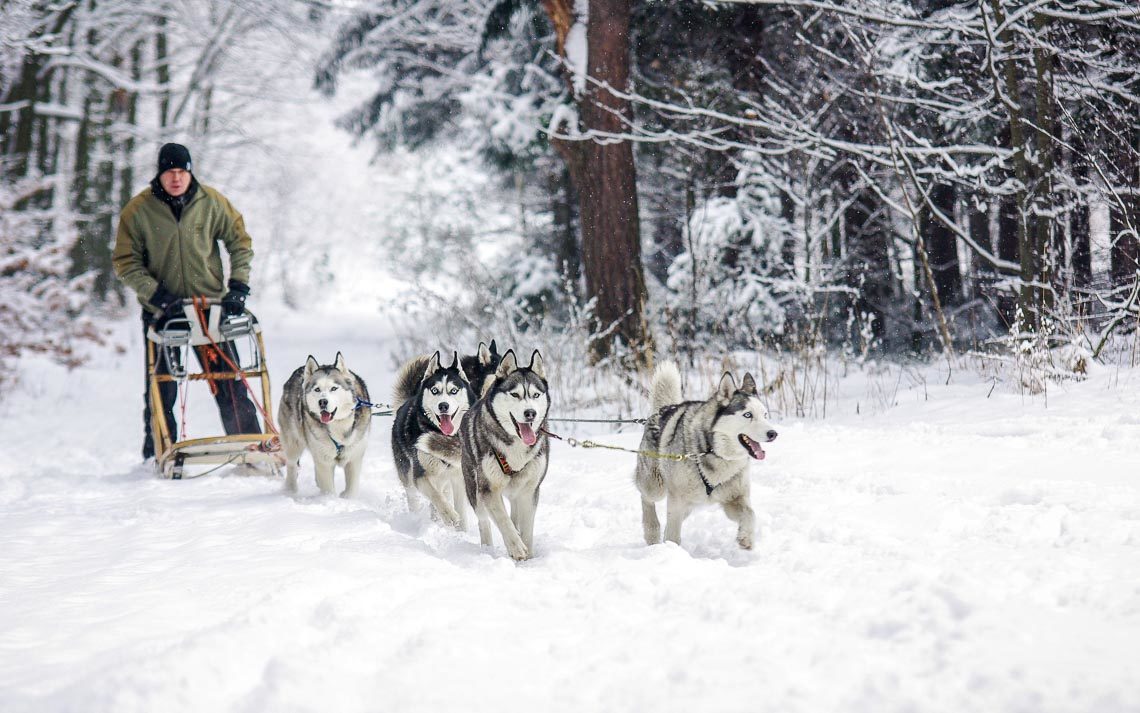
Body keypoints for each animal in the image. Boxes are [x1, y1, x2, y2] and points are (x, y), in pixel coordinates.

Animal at [278, 353, 371, 497]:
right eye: (317, 389)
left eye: (334, 388)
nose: (322, 402)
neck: (339, 426)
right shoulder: (324, 461)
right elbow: (328, 489)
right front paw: (330, 499)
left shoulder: (354, 458)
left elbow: (351, 490)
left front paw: (347, 498)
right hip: (293, 443)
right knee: (292, 465)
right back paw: (290, 489)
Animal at [392, 346, 476, 524]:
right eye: (435, 390)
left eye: (453, 391)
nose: (443, 405)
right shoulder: (420, 475)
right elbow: (435, 496)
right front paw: (449, 514)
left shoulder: (458, 479)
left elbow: (460, 510)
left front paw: (461, 528)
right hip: (408, 475)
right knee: (415, 498)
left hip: (444, 480)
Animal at [462, 346, 551, 558]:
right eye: (515, 395)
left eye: (536, 395)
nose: (530, 413)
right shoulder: (489, 489)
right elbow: (503, 520)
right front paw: (516, 547)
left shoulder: (529, 491)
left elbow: (526, 527)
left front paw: (528, 555)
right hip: (475, 490)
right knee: (484, 520)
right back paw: (487, 547)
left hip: (516, 491)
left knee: (514, 514)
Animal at [633, 360, 775, 549]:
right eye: (747, 415)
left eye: (765, 415)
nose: (773, 433)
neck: (715, 453)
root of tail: (662, 411)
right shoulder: (677, 500)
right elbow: (673, 535)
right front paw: (672, 550)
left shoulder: (734, 498)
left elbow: (750, 515)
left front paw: (746, 538)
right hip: (655, 486)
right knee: (646, 498)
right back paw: (652, 531)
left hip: (688, 504)